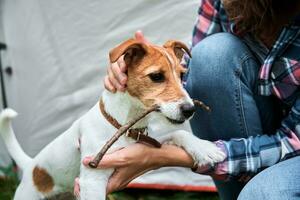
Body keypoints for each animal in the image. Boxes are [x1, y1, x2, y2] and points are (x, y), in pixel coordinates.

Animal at [0, 38, 225, 199]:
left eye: (181, 75)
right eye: (156, 76)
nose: (189, 109)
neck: (122, 126)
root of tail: (31, 166)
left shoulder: (147, 141)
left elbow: (178, 133)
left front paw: (205, 148)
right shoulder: (92, 182)